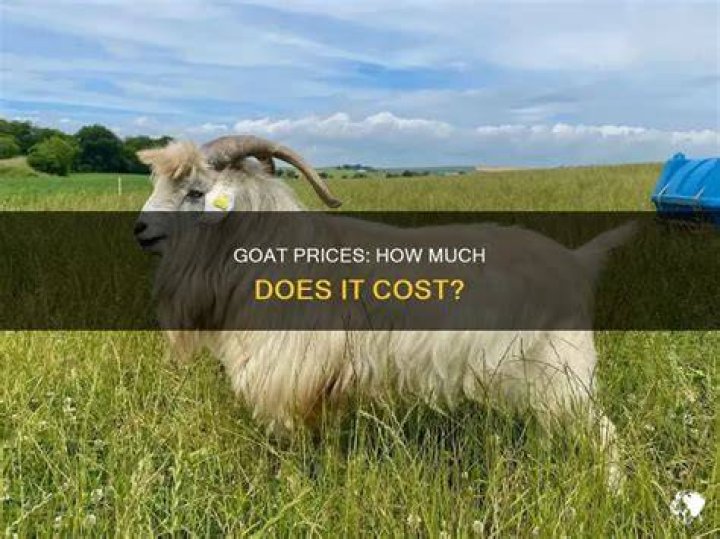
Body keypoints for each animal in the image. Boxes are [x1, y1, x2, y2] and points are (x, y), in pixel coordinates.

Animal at [134, 135, 631, 487]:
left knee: (605, 434)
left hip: (564, 372)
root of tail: (576, 260)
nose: (139, 230)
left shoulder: (292, 374)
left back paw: (613, 492)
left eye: (196, 191)